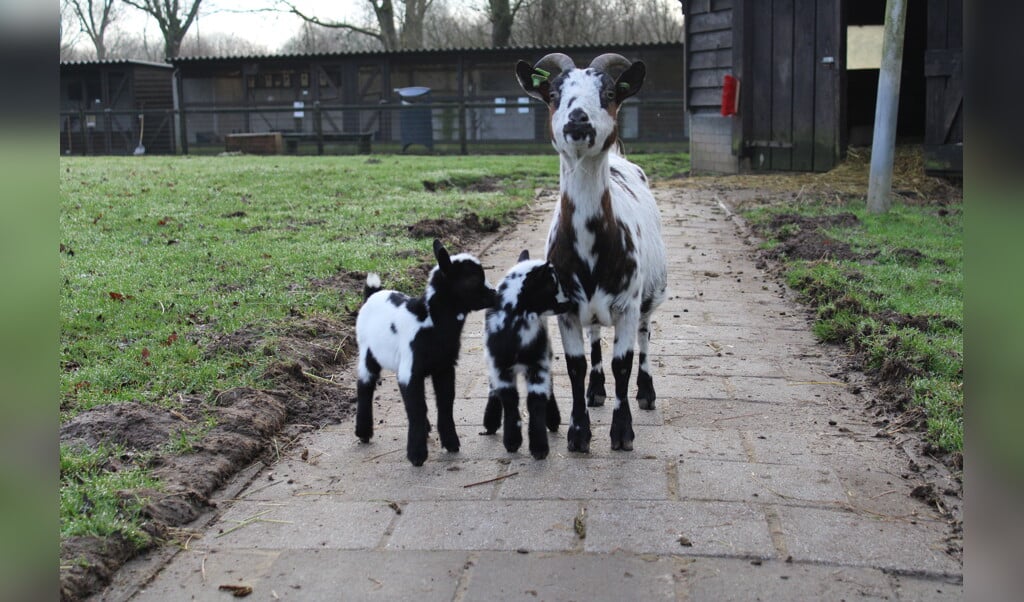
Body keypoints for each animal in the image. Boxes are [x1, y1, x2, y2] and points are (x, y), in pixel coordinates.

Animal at [354, 239, 493, 464]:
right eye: (473, 278)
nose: (496, 294)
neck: (430, 321)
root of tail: (373, 294)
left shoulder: (445, 367)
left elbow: (445, 403)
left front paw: (451, 443)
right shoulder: (410, 370)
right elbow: (417, 409)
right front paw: (416, 455)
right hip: (367, 351)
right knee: (365, 385)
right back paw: (363, 432)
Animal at [479, 251, 569, 458]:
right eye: (553, 285)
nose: (569, 302)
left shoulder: (538, 364)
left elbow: (536, 401)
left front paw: (539, 447)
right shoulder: (500, 367)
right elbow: (510, 400)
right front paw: (512, 441)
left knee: (550, 385)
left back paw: (553, 420)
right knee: (492, 387)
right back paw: (490, 422)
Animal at [512, 54, 671, 454]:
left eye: (610, 92)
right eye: (553, 93)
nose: (578, 119)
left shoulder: (627, 305)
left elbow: (623, 364)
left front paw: (623, 433)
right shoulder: (566, 310)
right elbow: (575, 366)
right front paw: (578, 434)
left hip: (650, 294)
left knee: (645, 334)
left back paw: (646, 393)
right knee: (596, 336)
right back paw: (596, 392)